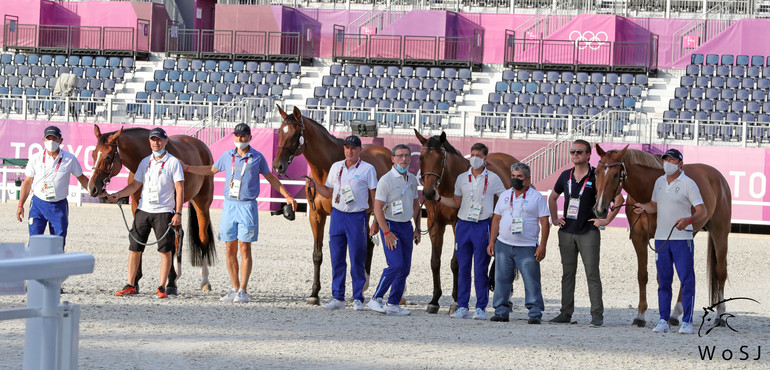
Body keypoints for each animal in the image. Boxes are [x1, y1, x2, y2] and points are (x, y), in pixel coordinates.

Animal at [88, 125, 216, 294]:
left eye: (108, 156)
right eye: (93, 153)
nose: (92, 188)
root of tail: (201, 145)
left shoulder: (170, 209)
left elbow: (168, 242)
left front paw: (170, 283)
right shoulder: (137, 206)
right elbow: (138, 238)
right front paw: (135, 281)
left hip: (201, 203)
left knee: (202, 237)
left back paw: (204, 280)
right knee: (180, 235)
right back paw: (178, 276)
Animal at [270, 105, 392, 304]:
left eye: (296, 134)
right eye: (280, 132)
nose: (277, 166)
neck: (326, 170)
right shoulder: (316, 215)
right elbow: (317, 255)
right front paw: (314, 293)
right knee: (368, 244)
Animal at [414, 132, 516, 314]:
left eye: (441, 158)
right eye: (421, 157)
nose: (429, 192)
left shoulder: (458, 225)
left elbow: (456, 263)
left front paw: (455, 301)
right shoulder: (435, 224)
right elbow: (435, 262)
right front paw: (434, 301)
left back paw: (507, 300)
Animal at [592, 145, 728, 326]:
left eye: (615, 175)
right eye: (596, 172)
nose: (600, 209)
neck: (647, 191)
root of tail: (717, 176)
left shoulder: (661, 239)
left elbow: (661, 277)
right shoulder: (639, 238)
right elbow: (642, 275)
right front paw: (640, 315)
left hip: (720, 231)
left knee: (720, 271)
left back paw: (720, 314)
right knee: (686, 274)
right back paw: (676, 313)